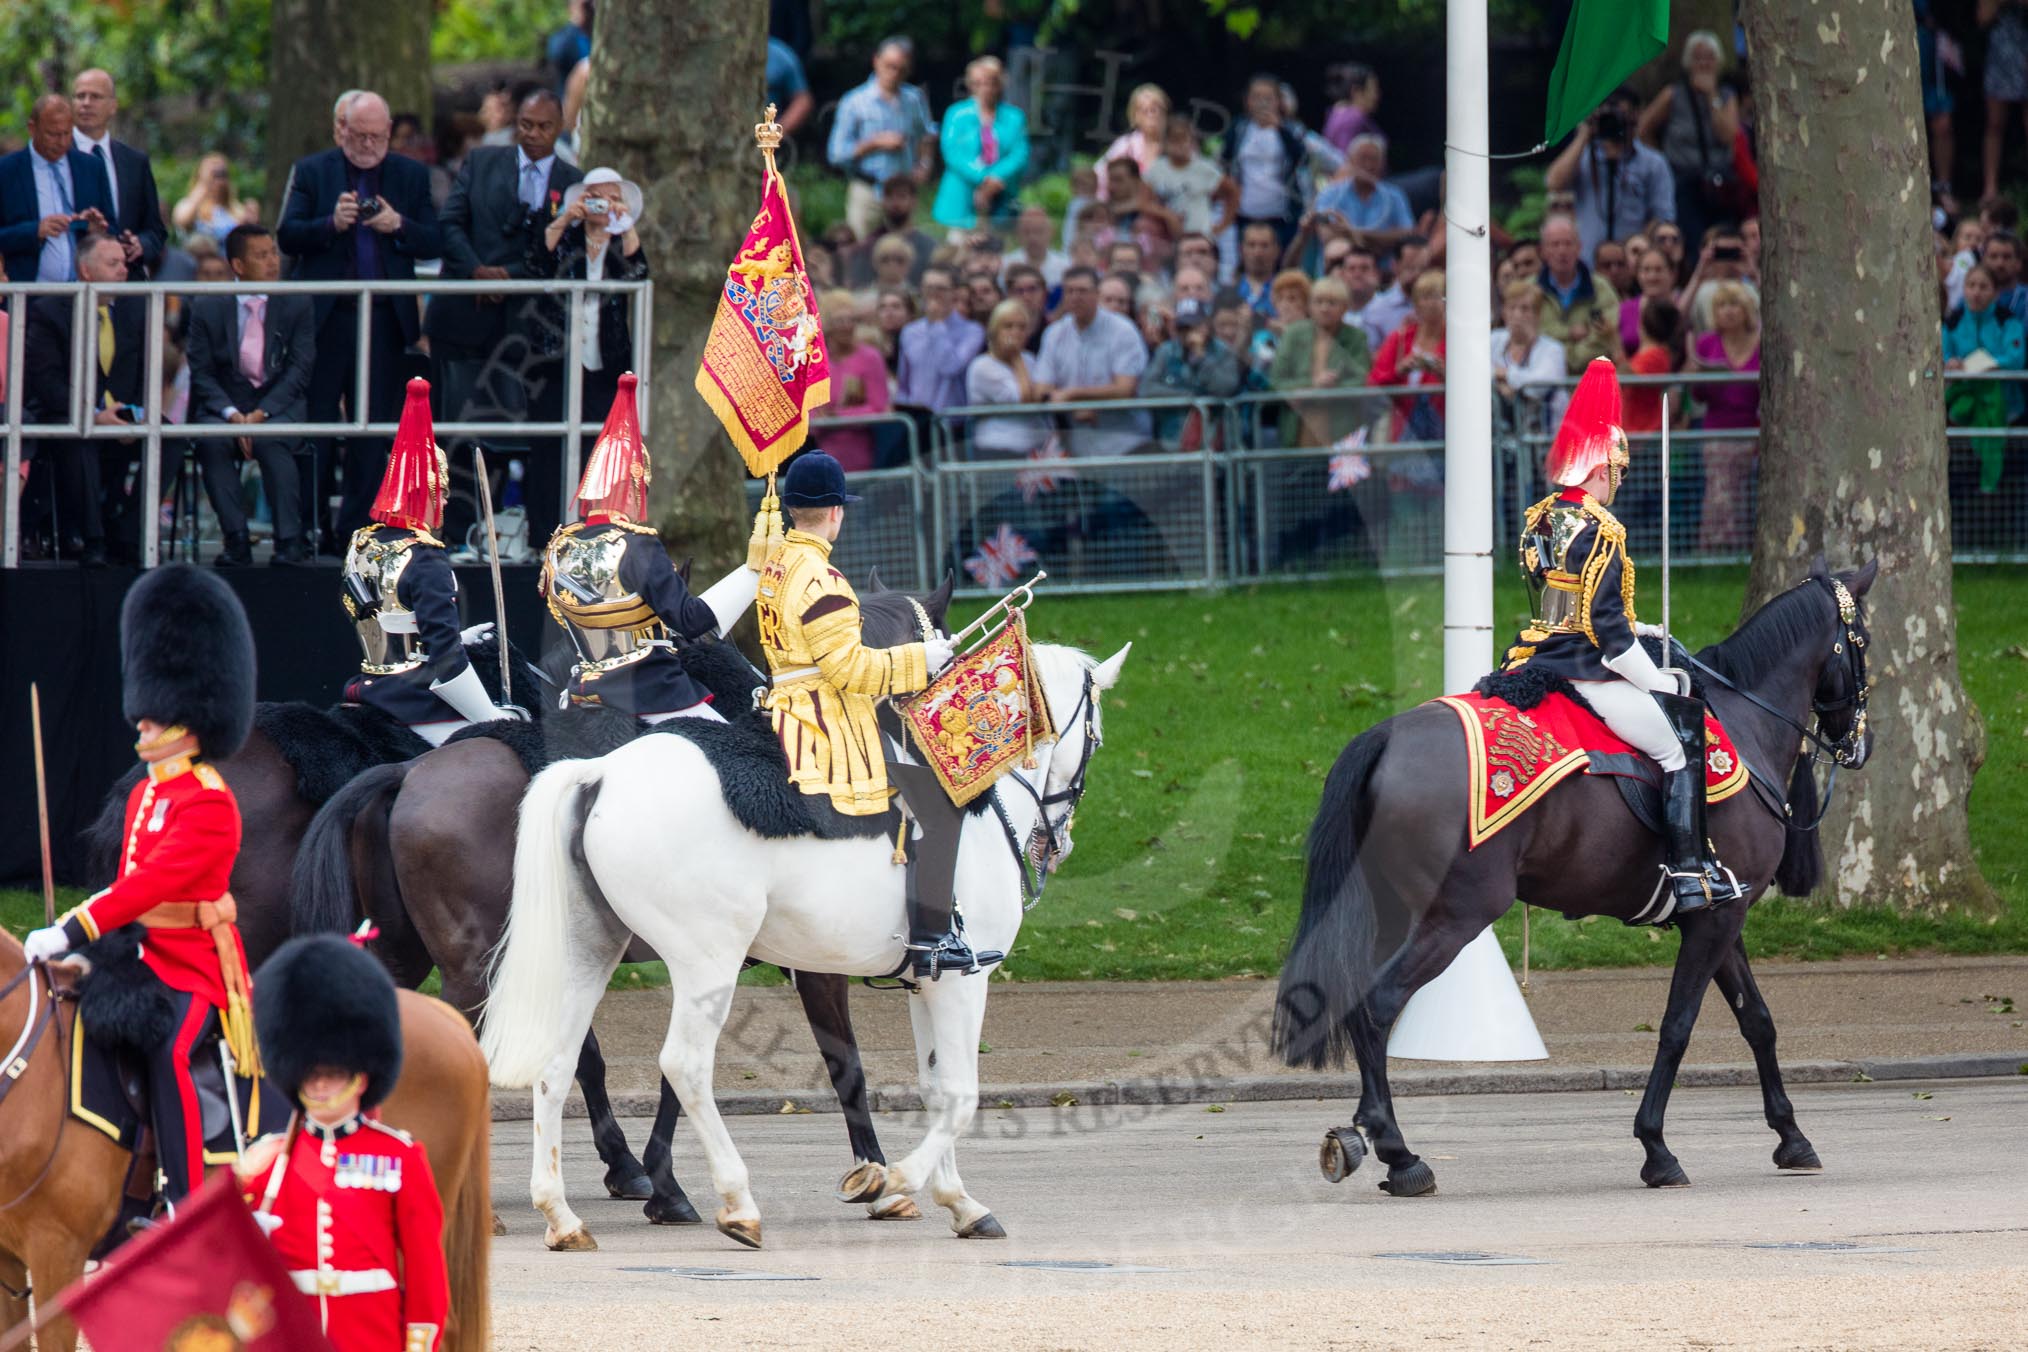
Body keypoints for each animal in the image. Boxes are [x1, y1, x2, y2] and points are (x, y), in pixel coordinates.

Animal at [482, 640, 1135, 1256]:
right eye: (1097, 735)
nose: (1059, 844)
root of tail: (600, 773)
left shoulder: (927, 980)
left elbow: (934, 1086)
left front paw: (958, 1201)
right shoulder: (964, 979)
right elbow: (961, 1094)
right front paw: (894, 1180)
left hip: (590, 952)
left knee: (558, 1063)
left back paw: (562, 1216)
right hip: (707, 962)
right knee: (685, 1066)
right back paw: (736, 1204)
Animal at [1273, 559, 1873, 1191]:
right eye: (1863, 640)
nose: (1861, 743)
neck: (1746, 722)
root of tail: (1384, 736)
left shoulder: (1719, 911)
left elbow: (1757, 1020)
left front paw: (1791, 1136)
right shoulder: (1719, 917)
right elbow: (1678, 1024)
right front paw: (1656, 1147)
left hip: (1394, 913)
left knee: (1356, 1004)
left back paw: (1370, 1138)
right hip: (1454, 915)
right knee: (1379, 1005)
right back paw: (1399, 1153)